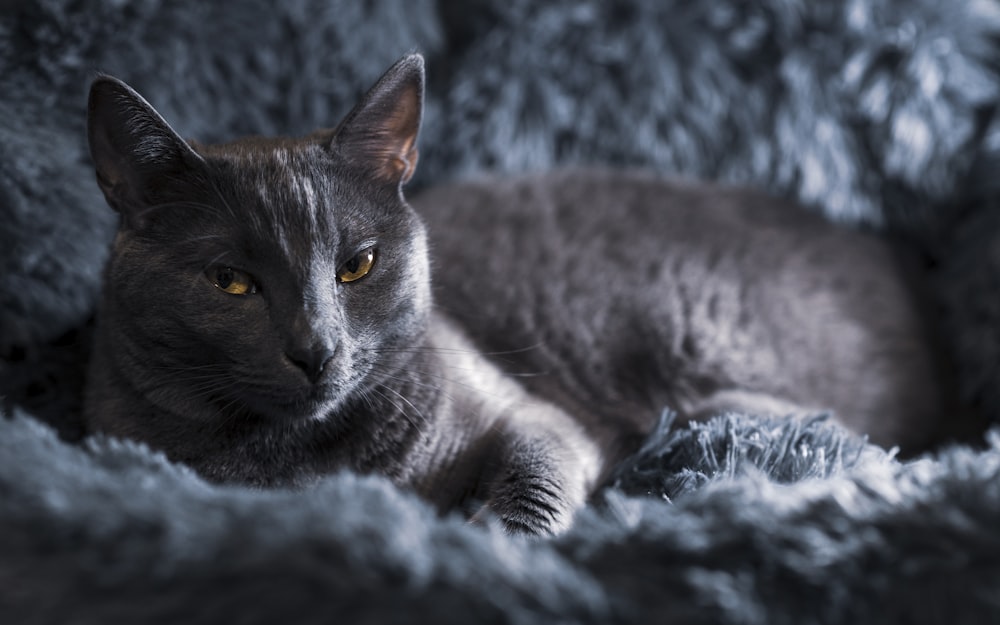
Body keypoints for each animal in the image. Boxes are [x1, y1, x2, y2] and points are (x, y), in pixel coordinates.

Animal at [84, 53, 944, 532]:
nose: (315, 349)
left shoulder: (532, 414)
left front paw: (493, 535)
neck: (321, 456)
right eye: (230, 280)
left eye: (357, 265)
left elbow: (538, 471)